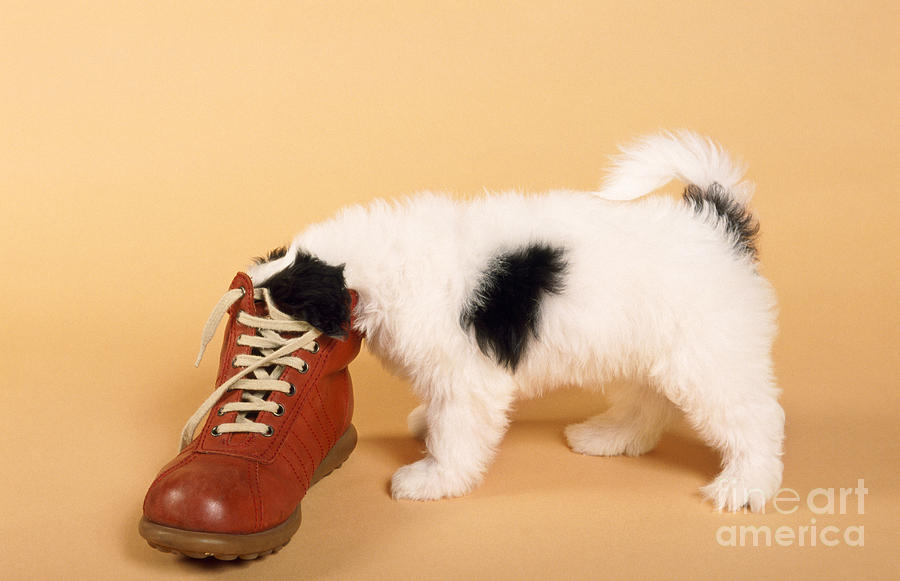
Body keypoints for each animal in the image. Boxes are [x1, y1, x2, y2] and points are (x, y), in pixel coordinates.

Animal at [244, 129, 780, 510]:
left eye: (282, 301)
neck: (386, 266)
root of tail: (716, 222)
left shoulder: (465, 375)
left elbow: (456, 429)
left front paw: (434, 477)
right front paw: (426, 430)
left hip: (709, 353)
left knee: (754, 416)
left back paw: (746, 484)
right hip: (652, 345)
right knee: (649, 402)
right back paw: (610, 437)